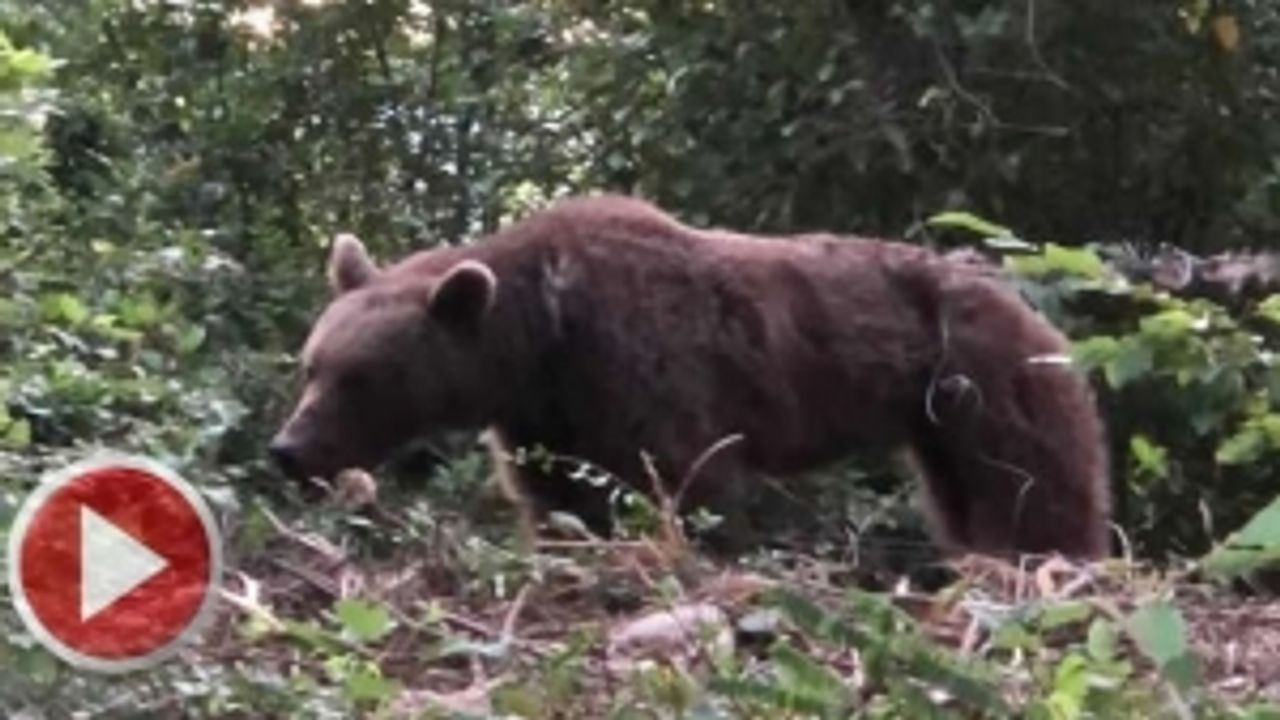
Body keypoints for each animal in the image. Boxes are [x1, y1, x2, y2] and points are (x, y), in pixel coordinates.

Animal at [270, 195, 1111, 558]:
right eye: (312, 365)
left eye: (361, 378)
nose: (289, 449)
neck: (542, 338)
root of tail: (1021, 293)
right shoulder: (546, 418)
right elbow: (562, 500)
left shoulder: (644, 370)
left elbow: (682, 480)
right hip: (934, 420)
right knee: (963, 493)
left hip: (984, 382)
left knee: (1033, 482)